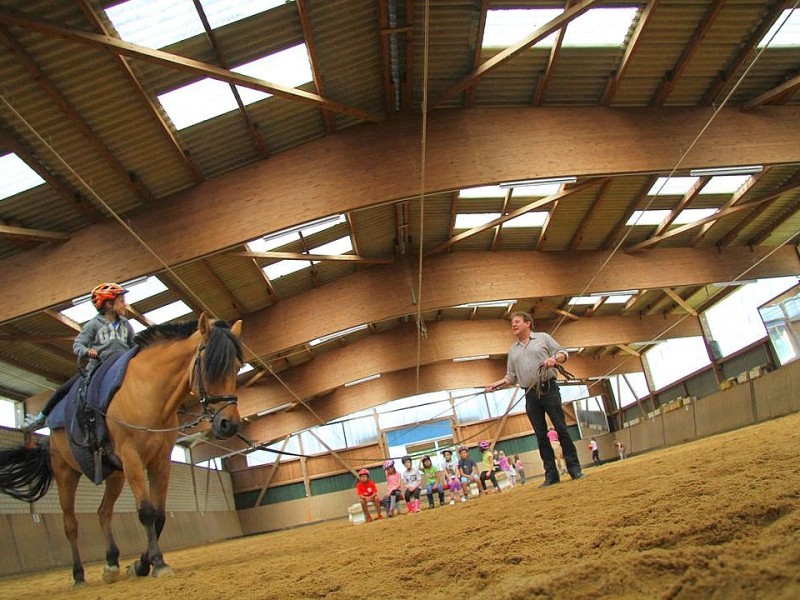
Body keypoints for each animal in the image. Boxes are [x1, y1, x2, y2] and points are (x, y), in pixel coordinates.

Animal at [0, 314, 244, 584]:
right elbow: (146, 512)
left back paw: (111, 564)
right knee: (70, 523)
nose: (229, 424)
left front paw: (140, 565)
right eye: (210, 366)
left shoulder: (160, 462)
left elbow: (159, 515)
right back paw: (78, 575)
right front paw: (157, 564)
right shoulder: (132, 457)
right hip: (66, 474)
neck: (147, 393)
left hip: (116, 476)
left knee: (103, 512)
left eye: (236, 367)